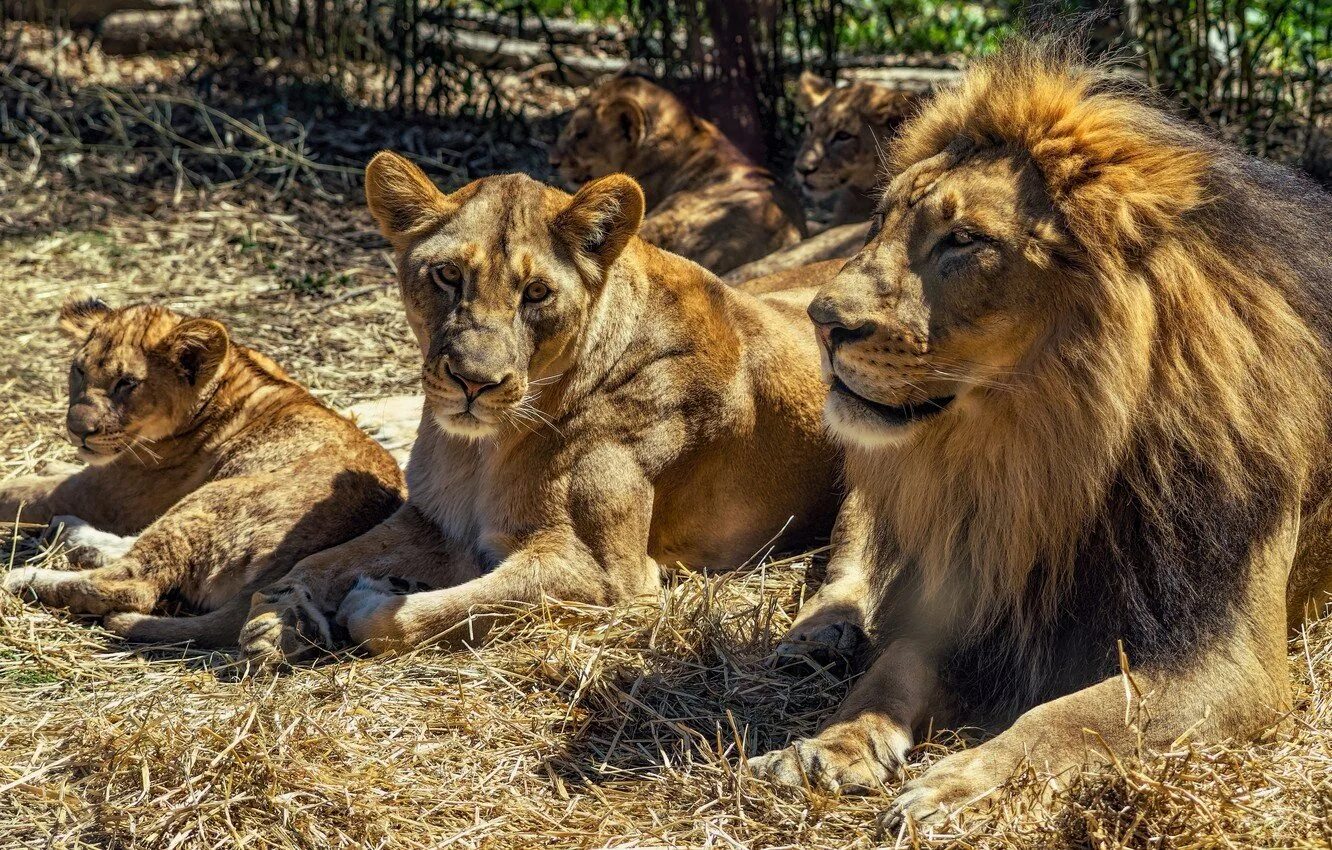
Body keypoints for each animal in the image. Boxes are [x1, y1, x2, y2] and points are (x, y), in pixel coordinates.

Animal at [239, 156, 841, 668]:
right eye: (448, 275)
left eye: (536, 293)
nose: (472, 382)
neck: (480, 450)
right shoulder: (432, 520)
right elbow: (320, 560)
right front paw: (278, 616)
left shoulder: (607, 573)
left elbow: (434, 614)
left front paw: (375, 597)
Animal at [756, 43, 1332, 831]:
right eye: (879, 220)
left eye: (964, 240)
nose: (821, 321)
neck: (1042, 455)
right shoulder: (978, 588)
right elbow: (892, 666)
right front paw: (830, 743)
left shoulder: (1229, 658)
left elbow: (1072, 716)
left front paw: (957, 785)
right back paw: (819, 633)